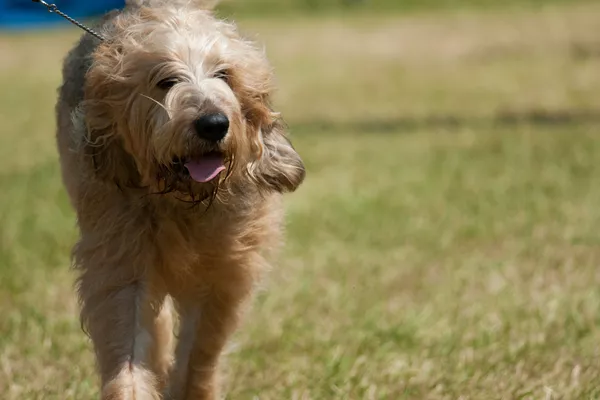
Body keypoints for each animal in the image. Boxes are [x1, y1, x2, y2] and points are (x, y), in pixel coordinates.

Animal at [55, 1, 304, 398]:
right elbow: (128, 344)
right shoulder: (121, 261)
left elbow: (199, 348)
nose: (213, 124)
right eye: (166, 81)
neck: (182, 198)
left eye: (224, 74)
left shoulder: (224, 271)